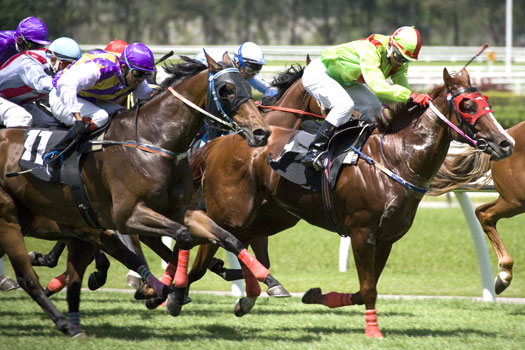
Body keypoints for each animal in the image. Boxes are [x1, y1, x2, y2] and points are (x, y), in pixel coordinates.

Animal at [0, 52, 278, 336]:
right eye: (227, 90)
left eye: (247, 87)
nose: (262, 132)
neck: (153, 141)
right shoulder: (128, 216)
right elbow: (183, 237)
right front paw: (173, 293)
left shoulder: (181, 210)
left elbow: (227, 238)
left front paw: (266, 279)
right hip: (9, 218)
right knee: (29, 276)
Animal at [187, 67, 512, 338]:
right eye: (467, 106)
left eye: (485, 101)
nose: (506, 143)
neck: (395, 158)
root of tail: (222, 141)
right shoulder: (361, 233)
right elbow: (368, 288)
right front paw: (373, 332)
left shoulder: (386, 239)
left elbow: (363, 289)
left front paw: (317, 296)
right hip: (231, 212)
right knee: (207, 246)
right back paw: (182, 287)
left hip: (274, 216)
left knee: (243, 247)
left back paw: (249, 290)